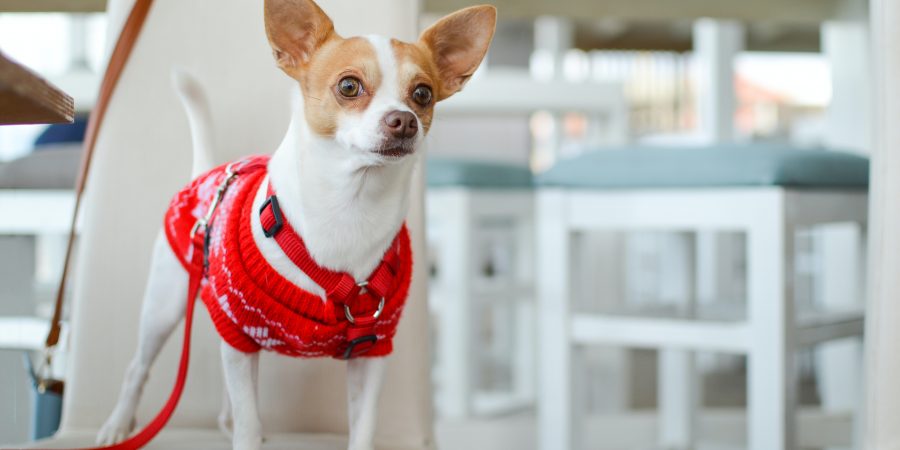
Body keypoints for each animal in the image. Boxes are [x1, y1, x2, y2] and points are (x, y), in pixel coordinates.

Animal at [96, 0, 500, 450]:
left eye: (423, 94)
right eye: (349, 86)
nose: (405, 120)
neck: (349, 207)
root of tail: (206, 174)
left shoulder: (370, 353)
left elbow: (361, 428)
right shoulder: (238, 332)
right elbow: (249, 424)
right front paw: (246, 433)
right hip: (164, 306)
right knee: (138, 367)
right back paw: (118, 425)